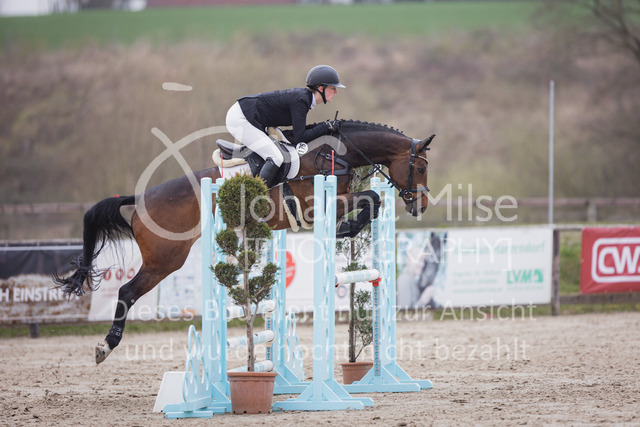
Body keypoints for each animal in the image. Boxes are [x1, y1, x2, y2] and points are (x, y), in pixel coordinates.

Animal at [53, 119, 434, 364]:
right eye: (420, 169)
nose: (422, 206)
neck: (334, 154)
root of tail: (142, 196)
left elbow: (374, 200)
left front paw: (348, 229)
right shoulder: (319, 204)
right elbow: (372, 198)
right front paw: (345, 230)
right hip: (166, 259)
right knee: (127, 292)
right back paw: (105, 346)